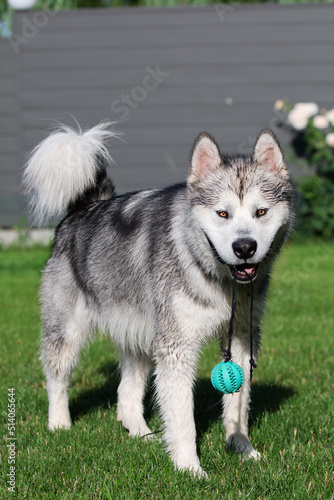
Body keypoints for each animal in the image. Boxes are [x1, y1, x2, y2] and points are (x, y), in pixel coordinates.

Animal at [23, 122, 294, 476]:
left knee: (126, 394)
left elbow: (237, 403)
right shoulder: (176, 347)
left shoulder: (241, 338)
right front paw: (190, 469)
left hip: (139, 336)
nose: (244, 247)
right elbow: (184, 419)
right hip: (67, 331)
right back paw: (59, 425)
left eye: (261, 212)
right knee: (57, 378)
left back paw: (140, 433)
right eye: (222, 213)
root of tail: (87, 206)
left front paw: (242, 448)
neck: (218, 278)